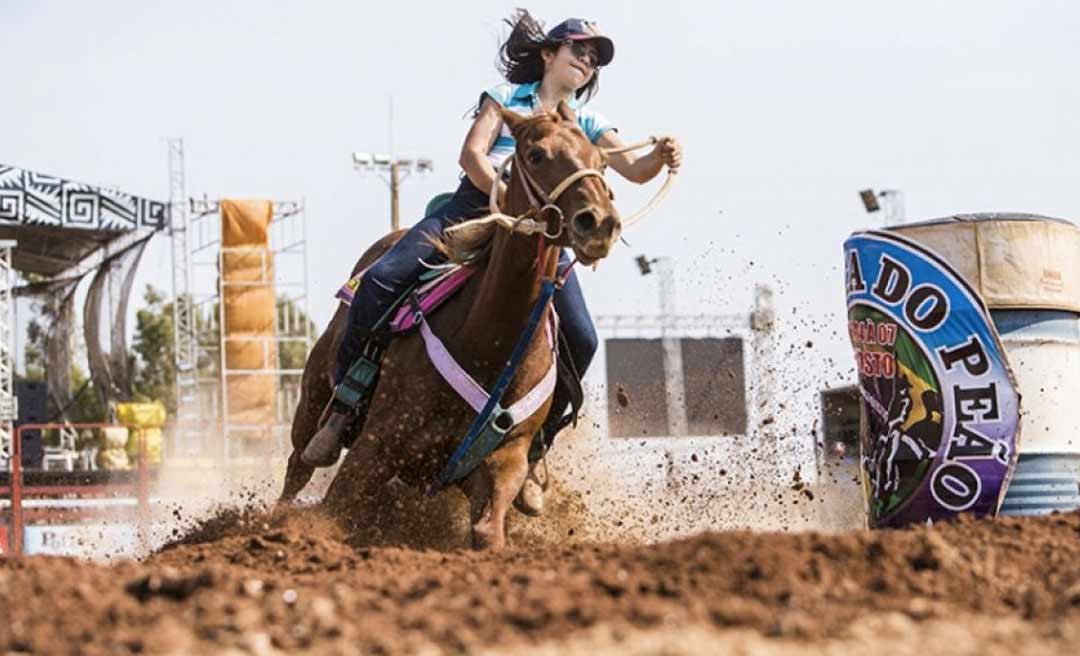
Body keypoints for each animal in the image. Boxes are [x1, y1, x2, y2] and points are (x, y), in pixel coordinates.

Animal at [278, 102, 622, 551]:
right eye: (536, 155)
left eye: (601, 161)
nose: (598, 222)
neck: (489, 343)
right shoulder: (374, 447)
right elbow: (334, 513)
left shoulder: (504, 462)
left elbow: (488, 531)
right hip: (313, 398)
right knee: (298, 465)